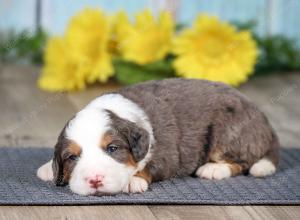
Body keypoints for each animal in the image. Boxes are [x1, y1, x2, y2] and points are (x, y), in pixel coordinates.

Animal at [37, 78, 278, 195]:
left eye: (112, 149)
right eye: (72, 157)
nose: (94, 180)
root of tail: (264, 120)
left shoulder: (169, 154)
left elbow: (150, 166)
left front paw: (133, 180)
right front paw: (49, 168)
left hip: (228, 133)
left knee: (243, 162)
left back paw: (213, 169)